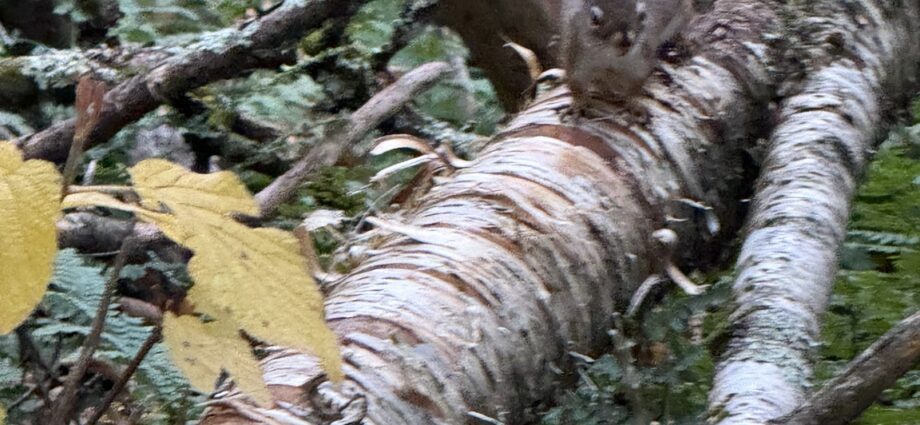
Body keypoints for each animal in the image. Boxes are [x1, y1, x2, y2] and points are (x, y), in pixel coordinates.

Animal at [561, 0, 693, 110]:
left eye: (643, 15)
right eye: (594, 18)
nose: (625, 42)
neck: (610, 57)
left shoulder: (641, 61)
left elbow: (636, 85)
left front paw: (634, 103)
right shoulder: (577, 55)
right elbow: (576, 82)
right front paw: (578, 104)